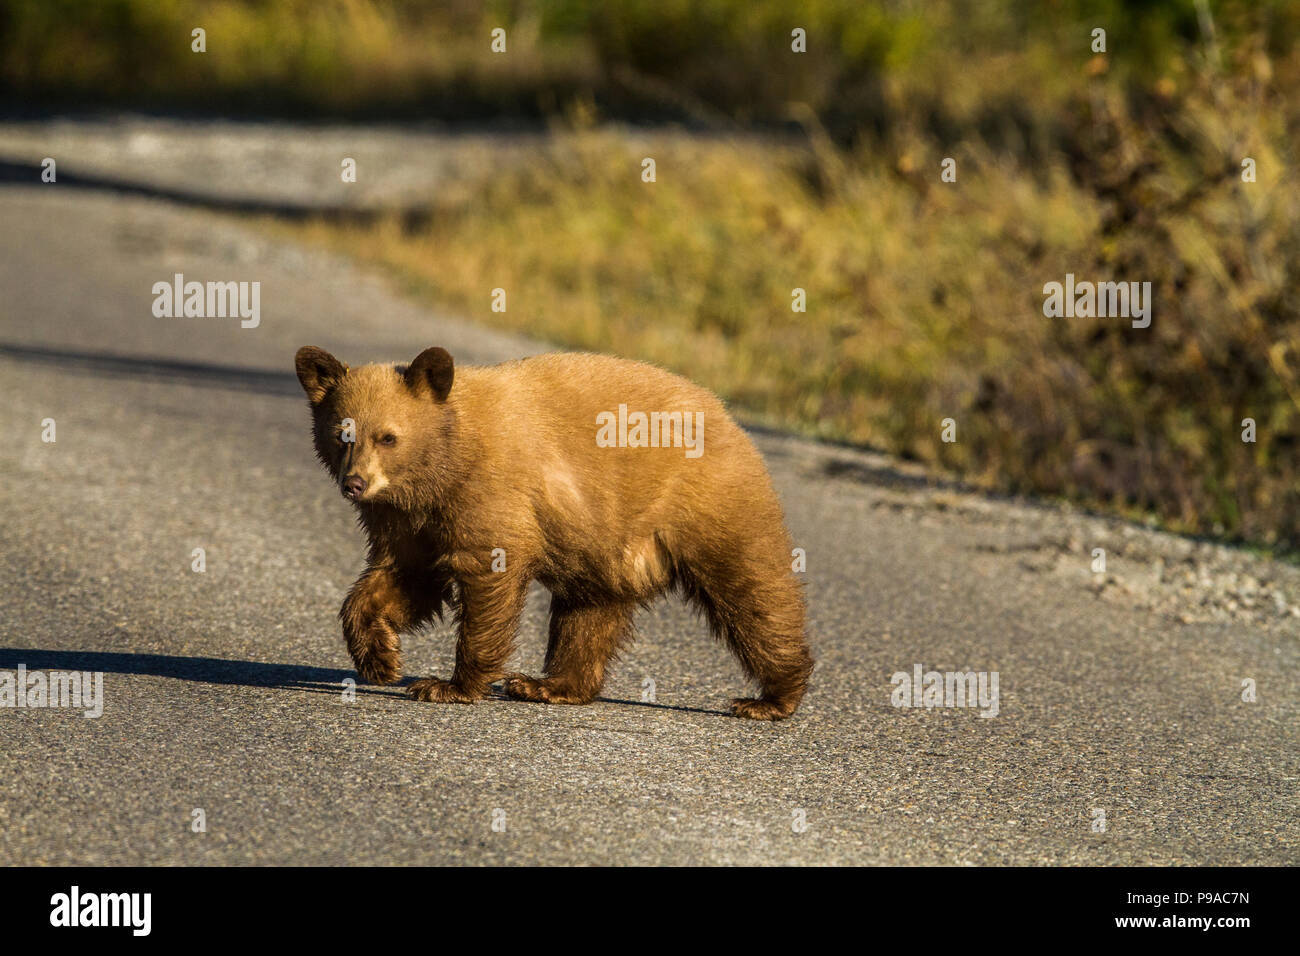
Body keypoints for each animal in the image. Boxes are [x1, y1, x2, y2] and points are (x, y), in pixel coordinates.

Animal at [295, 343, 811, 717]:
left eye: (387, 436)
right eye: (342, 434)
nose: (355, 483)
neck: (444, 463)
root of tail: (729, 418)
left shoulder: (490, 493)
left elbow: (486, 574)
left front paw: (449, 684)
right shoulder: (409, 520)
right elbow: (403, 578)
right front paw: (380, 658)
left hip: (708, 506)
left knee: (752, 593)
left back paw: (771, 697)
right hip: (606, 543)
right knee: (589, 612)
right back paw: (549, 685)